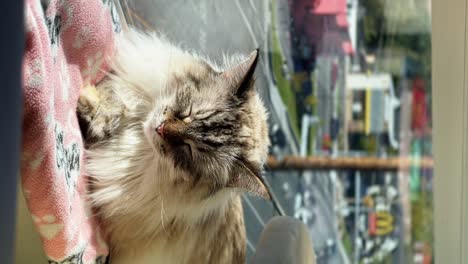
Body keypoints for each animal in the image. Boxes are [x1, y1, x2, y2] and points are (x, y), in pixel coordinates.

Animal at [77, 28, 270, 264]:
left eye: (189, 148)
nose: (160, 128)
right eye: (187, 114)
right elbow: (116, 99)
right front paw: (98, 109)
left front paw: (90, 110)